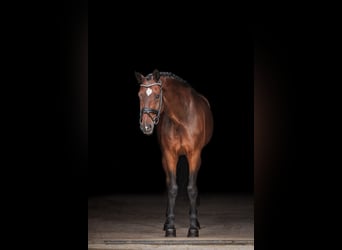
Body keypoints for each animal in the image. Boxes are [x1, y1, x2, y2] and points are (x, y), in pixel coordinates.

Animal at [135, 69, 212, 237]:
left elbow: (192, 189)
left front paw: (193, 228)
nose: (146, 126)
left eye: (157, 96)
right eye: (139, 95)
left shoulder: (194, 155)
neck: (182, 120)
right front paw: (170, 227)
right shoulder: (170, 155)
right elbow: (172, 188)